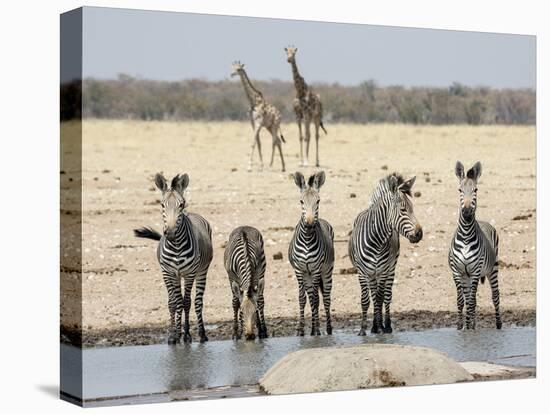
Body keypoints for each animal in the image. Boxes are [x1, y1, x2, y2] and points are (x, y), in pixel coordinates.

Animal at [135, 173, 215, 344]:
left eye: (181, 204)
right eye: (161, 205)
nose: (170, 233)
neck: (176, 246)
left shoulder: (190, 273)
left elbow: (185, 302)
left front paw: (185, 334)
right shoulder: (168, 273)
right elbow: (173, 303)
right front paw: (174, 335)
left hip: (201, 271)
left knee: (197, 302)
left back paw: (201, 334)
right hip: (177, 276)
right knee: (177, 301)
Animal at [288, 171, 336, 336]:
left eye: (318, 201)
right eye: (301, 201)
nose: (309, 224)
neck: (307, 239)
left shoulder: (315, 269)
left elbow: (316, 299)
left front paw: (315, 331)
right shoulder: (299, 269)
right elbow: (302, 299)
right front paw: (301, 330)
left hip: (326, 271)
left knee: (325, 298)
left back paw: (326, 329)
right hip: (307, 274)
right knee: (311, 297)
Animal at [352, 173, 424, 334]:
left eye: (413, 208)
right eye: (403, 210)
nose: (419, 234)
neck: (377, 241)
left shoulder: (384, 270)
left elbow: (380, 298)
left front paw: (380, 327)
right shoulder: (362, 271)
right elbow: (366, 300)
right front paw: (364, 329)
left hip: (390, 268)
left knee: (386, 295)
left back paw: (386, 325)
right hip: (372, 273)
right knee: (374, 295)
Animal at [450, 162, 502, 330]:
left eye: (476, 190)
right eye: (460, 190)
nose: (467, 212)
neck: (466, 235)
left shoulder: (474, 271)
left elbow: (471, 302)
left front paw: (469, 328)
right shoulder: (457, 271)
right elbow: (462, 301)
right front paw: (461, 326)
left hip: (493, 268)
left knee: (495, 295)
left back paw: (498, 324)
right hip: (468, 276)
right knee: (470, 298)